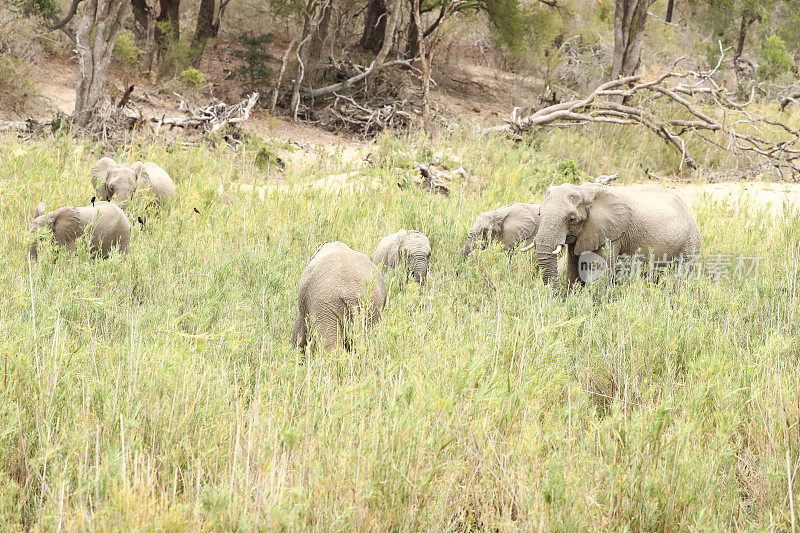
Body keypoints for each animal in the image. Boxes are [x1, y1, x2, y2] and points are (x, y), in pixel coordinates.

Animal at [528, 183, 704, 284]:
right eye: (540, 213)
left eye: (572, 219)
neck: (585, 191)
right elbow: (573, 272)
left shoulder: (611, 235)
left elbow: (598, 274)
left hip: (690, 243)